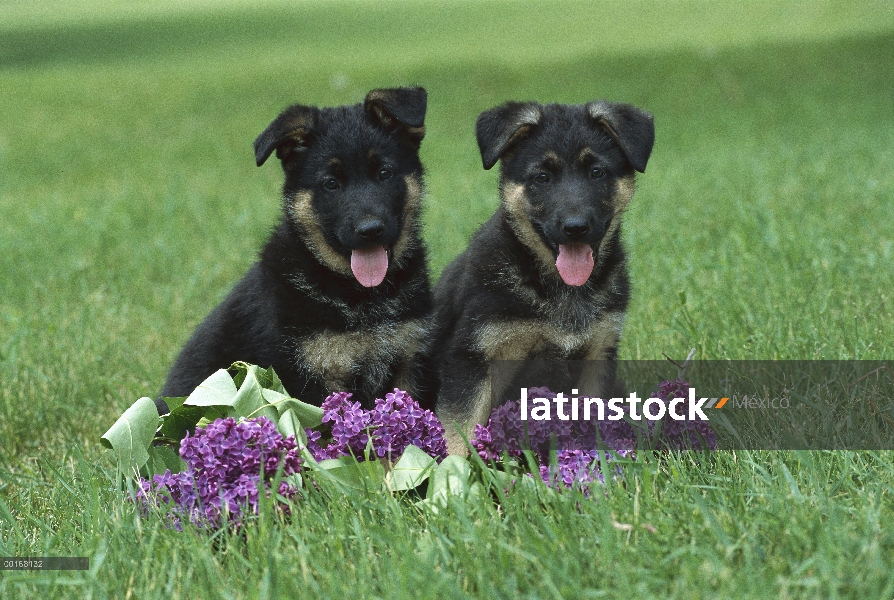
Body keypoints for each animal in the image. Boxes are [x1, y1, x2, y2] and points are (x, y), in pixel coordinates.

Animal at [163, 86, 440, 410]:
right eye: (331, 183)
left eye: (384, 173)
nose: (370, 230)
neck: (362, 298)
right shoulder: (314, 376)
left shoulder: (409, 361)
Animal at [430, 99, 656, 454]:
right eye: (542, 177)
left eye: (597, 172)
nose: (575, 227)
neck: (556, 287)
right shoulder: (473, 358)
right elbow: (456, 435)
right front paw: (450, 471)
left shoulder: (597, 358)